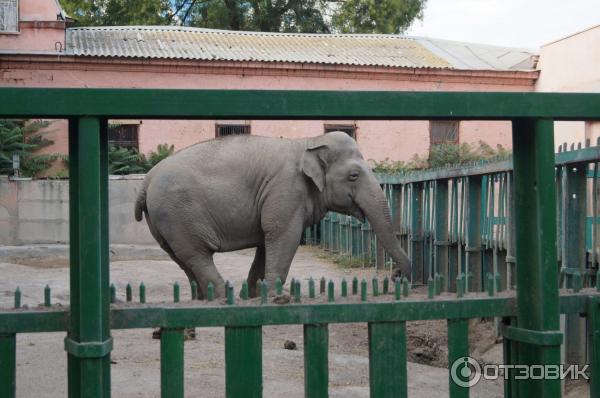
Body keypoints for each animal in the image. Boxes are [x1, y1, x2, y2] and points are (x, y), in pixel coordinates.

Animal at [134, 131, 410, 298]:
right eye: (354, 176)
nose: (396, 275)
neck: (309, 141)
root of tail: (147, 179)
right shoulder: (286, 191)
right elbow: (283, 236)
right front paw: (276, 297)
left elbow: (266, 245)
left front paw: (255, 295)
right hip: (177, 214)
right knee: (198, 256)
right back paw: (223, 299)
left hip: (164, 222)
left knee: (182, 259)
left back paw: (203, 300)